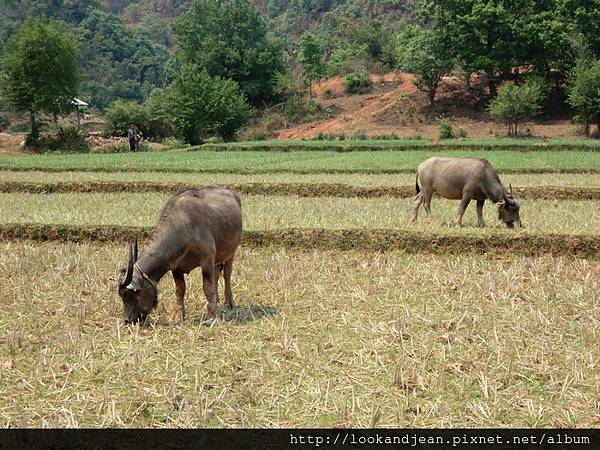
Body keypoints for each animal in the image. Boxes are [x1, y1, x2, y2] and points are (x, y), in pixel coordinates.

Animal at [118, 185, 243, 326]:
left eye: (128, 295)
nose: (127, 320)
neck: (184, 226)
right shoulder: (176, 266)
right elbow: (180, 289)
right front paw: (178, 315)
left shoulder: (207, 259)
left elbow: (208, 287)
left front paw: (212, 316)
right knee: (216, 274)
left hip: (231, 252)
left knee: (227, 274)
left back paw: (229, 302)